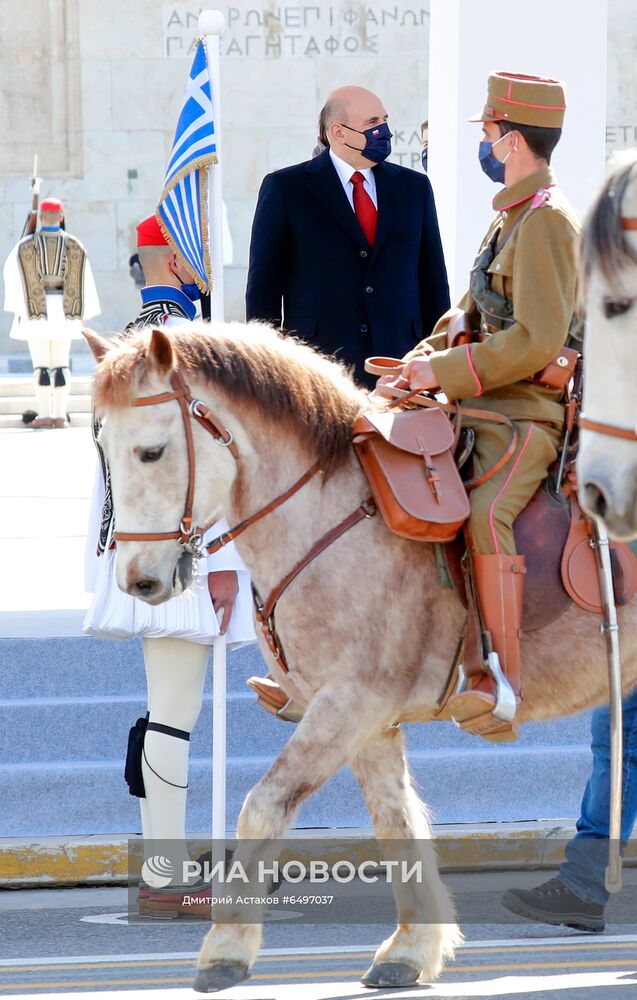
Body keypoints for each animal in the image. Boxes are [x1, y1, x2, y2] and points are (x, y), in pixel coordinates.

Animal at [85, 322, 636, 992]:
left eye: (153, 452)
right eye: (103, 447)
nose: (137, 580)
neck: (328, 513)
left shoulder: (353, 701)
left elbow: (263, 805)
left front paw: (227, 946)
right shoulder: (368, 720)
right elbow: (397, 822)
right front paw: (411, 948)